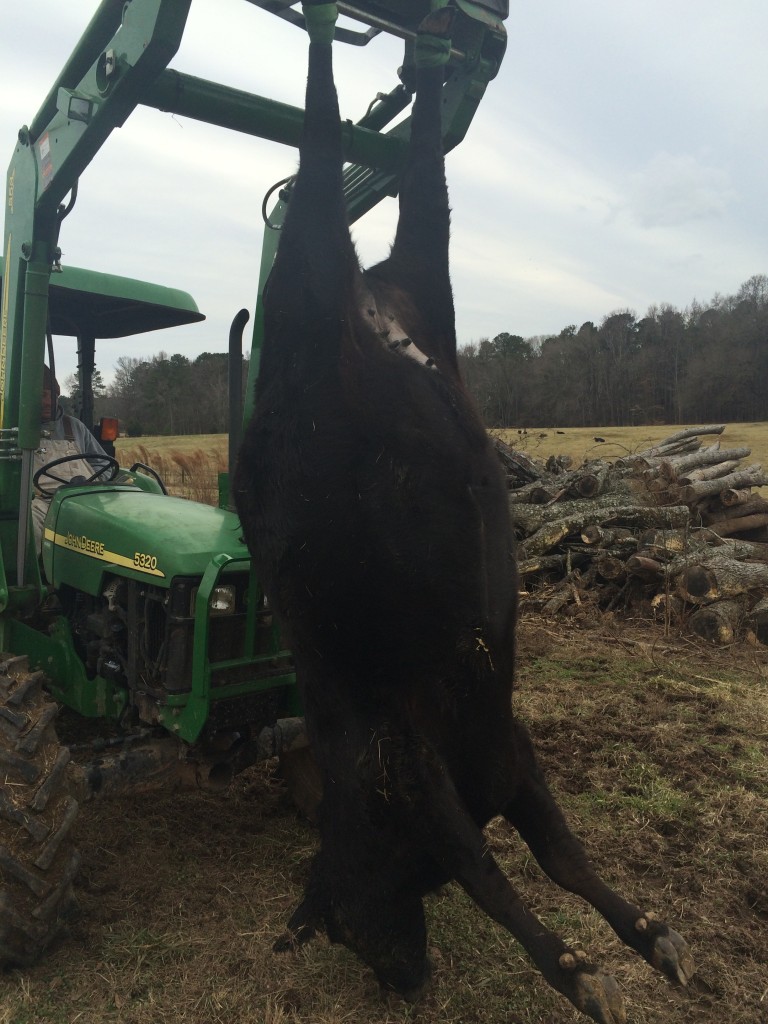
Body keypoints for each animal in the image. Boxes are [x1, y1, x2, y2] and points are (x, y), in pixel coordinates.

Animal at [233, 4, 692, 1019]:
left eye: (345, 931)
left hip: (313, 265)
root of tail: (372, 294)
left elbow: (504, 868)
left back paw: (380, 40)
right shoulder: (484, 750)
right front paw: (633, 942)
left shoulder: (419, 759)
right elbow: (543, 858)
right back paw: (435, 49)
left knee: (319, 135)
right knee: (414, 170)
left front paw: (592, 963)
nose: (402, 981)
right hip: (428, 260)